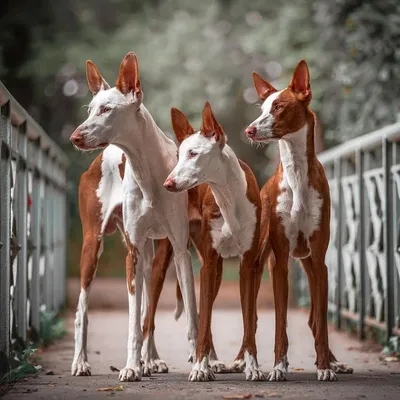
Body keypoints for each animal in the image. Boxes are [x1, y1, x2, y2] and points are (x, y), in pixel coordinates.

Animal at [162, 102, 266, 382]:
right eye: (179, 155)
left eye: (193, 154)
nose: (168, 184)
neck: (228, 197)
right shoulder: (208, 264)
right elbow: (205, 317)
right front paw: (200, 366)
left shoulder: (247, 265)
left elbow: (248, 320)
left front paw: (252, 366)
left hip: (218, 272)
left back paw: (215, 362)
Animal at [244, 59, 354, 382]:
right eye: (261, 108)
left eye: (279, 106)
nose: (249, 130)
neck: (295, 174)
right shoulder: (279, 262)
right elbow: (279, 322)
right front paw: (279, 367)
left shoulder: (318, 259)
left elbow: (321, 324)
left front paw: (325, 367)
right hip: (257, 264)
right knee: (251, 319)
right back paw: (243, 362)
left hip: (309, 264)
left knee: (314, 320)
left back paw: (334, 362)